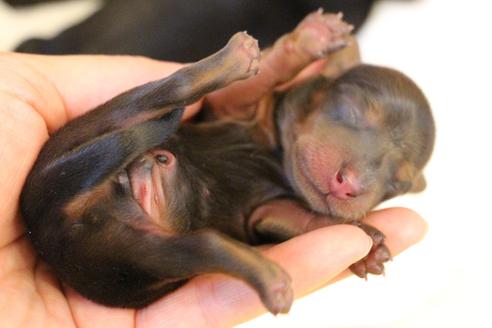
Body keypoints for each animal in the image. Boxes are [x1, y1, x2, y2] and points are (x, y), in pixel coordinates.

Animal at [19, 13, 434, 316]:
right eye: (350, 108)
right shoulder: (231, 108)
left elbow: (304, 219)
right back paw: (235, 58)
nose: (351, 185)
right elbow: (261, 79)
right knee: (174, 87)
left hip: (136, 257)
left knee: (205, 244)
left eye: (396, 184)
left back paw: (269, 279)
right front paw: (311, 39)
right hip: (96, 127)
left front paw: (367, 243)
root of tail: (51, 226)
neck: (278, 161)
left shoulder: (264, 212)